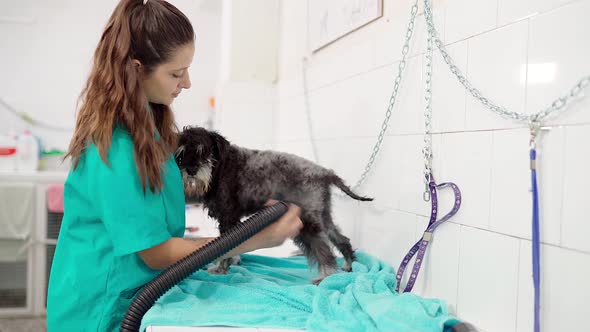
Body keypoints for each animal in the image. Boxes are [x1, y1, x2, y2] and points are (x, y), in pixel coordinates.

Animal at [176, 126, 374, 284]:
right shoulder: (232, 221)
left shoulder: (228, 217)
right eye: (181, 153)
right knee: (341, 239)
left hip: (307, 222)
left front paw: (221, 268)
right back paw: (348, 266)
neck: (221, 167)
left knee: (323, 250)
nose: (191, 170)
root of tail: (325, 173)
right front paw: (233, 261)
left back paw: (326, 277)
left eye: (204, 151)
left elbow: (225, 250)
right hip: (323, 215)